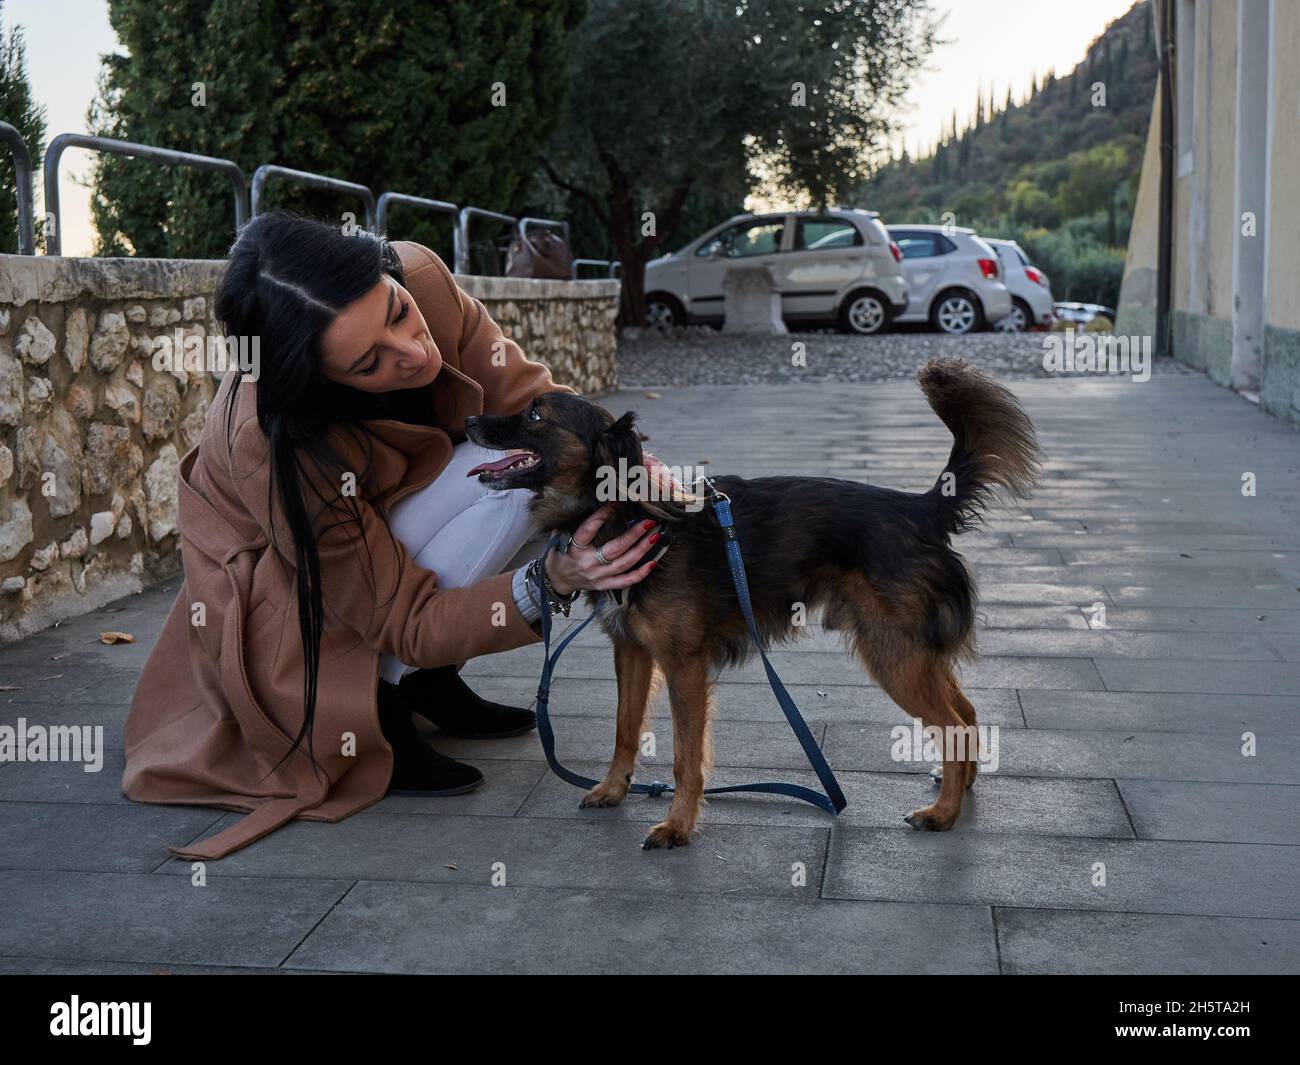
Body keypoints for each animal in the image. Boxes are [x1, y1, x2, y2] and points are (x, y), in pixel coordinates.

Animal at [462, 358, 1040, 847]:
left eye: (535, 414)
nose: (468, 418)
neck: (627, 509)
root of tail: (919, 509)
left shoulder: (683, 665)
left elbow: (685, 756)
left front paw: (679, 825)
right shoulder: (631, 651)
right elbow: (625, 729)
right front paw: (613, 789)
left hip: (892, 653)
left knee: (955, 722)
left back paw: (943, 814)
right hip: (909, 651)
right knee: (966, 711)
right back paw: (959, 787)